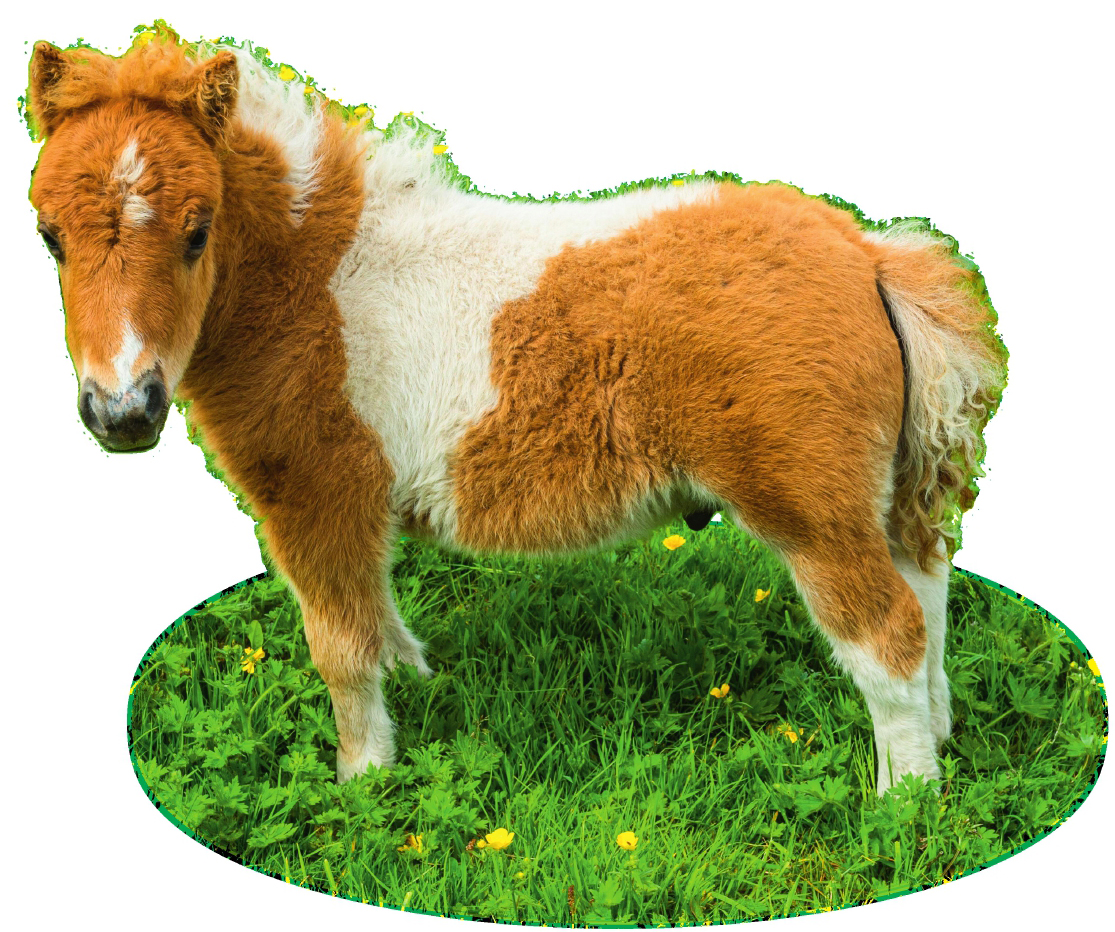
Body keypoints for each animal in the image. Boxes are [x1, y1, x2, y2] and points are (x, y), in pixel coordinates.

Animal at [26, 31, 1007, 793]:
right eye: (48, 235)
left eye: (198, 230)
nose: (122, 412)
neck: (315, 281)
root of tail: (865, 252)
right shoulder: (355, 508)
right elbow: (380, 624)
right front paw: (417, 691)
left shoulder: (315, 496)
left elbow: (341, 649)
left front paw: (364, 784)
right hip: (880, 495)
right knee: (928, 595)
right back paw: (942, 740)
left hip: (811, 513)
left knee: (887, 635)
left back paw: (901, 804)